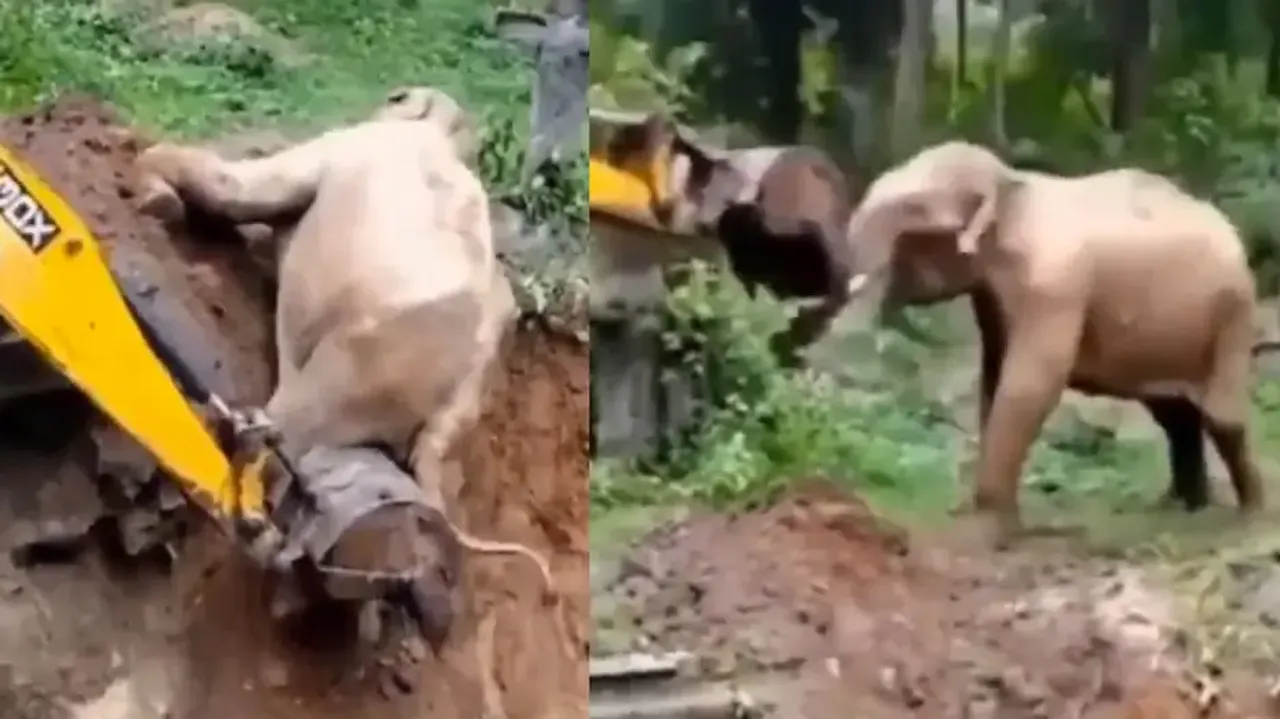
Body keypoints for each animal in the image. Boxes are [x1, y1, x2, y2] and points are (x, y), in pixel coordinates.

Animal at [842, 140, 1271, 548]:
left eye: (911, 209)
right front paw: (1003, 524)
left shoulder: (1054, 285)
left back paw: (1249, 517)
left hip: (1233, 316)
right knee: (1175, 414)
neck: (1012, 187)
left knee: (1221, 416)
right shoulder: (993, 301)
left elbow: (1030, 385)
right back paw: (1182, 510)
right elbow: (994, 380)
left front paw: (989, 533)